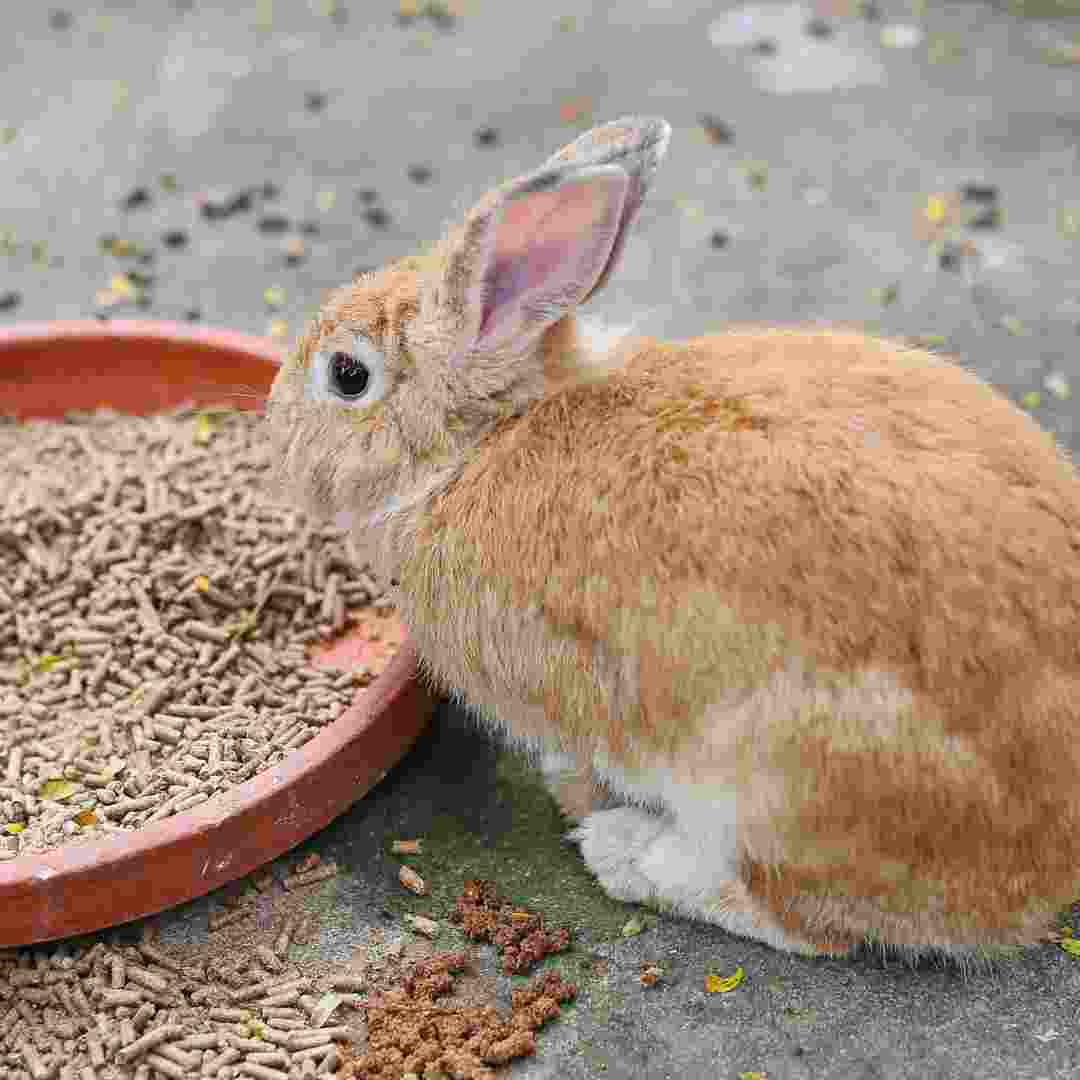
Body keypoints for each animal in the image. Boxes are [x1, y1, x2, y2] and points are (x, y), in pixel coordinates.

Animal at [265, 116, 1080, 963]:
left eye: (348, 375)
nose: (273, 425)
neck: (481, 442)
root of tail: (1048, 868)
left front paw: (573, 796)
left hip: (783, 783)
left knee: (804, 922)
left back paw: (625, 854)